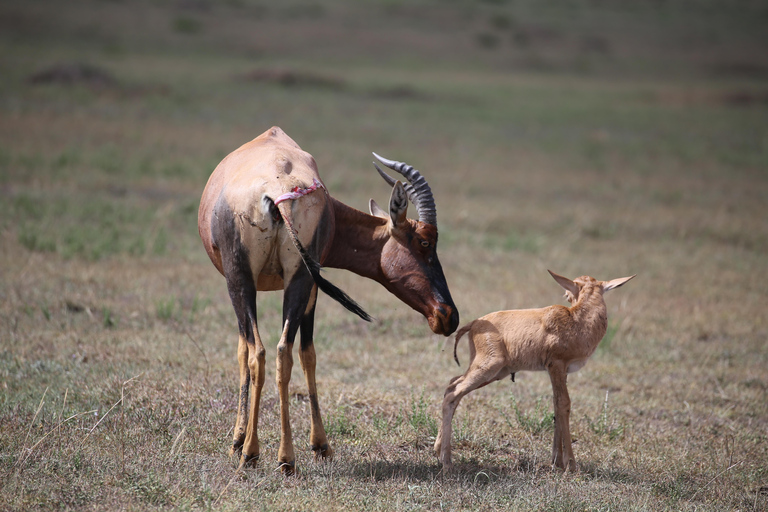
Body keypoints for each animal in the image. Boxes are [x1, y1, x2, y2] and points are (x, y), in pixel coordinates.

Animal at [201, 126, 460, 474]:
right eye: (424, 242)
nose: (448, 316)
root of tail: (277, 189)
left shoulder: (288, 282)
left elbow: (275, 352)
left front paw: (247, 444)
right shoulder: (308, 281)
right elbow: (296, 353)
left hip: (258, 279)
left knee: (267, 352)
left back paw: (266, 456)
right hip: (278, 279)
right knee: (273, 351)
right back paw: (274, 456)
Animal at [436, 270, 632, 470]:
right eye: (568, 293)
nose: (568, 297)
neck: (576, 319)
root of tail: (474, 323)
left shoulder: (561, 371)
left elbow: (556, 405)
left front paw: (557, 462)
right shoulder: (556, 365)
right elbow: (564, 404)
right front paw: (571, 464)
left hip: (496, 372)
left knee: (452, 384)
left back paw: (439, 451)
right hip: (490, 367)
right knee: (453, 394)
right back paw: (446, 462)